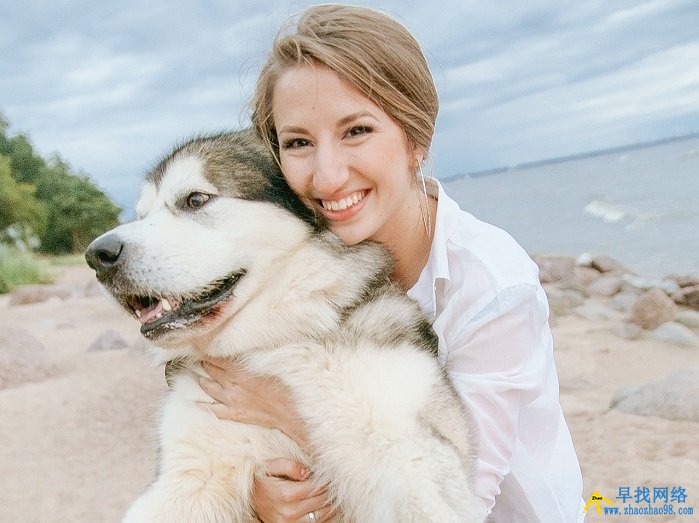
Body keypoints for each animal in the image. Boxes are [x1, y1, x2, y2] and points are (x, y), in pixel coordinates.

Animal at [83, 128, 482, 523]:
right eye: (141, 214)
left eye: (195, 199)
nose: (98, 255)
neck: (273, 343)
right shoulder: (190, 472)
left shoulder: (413, 457)